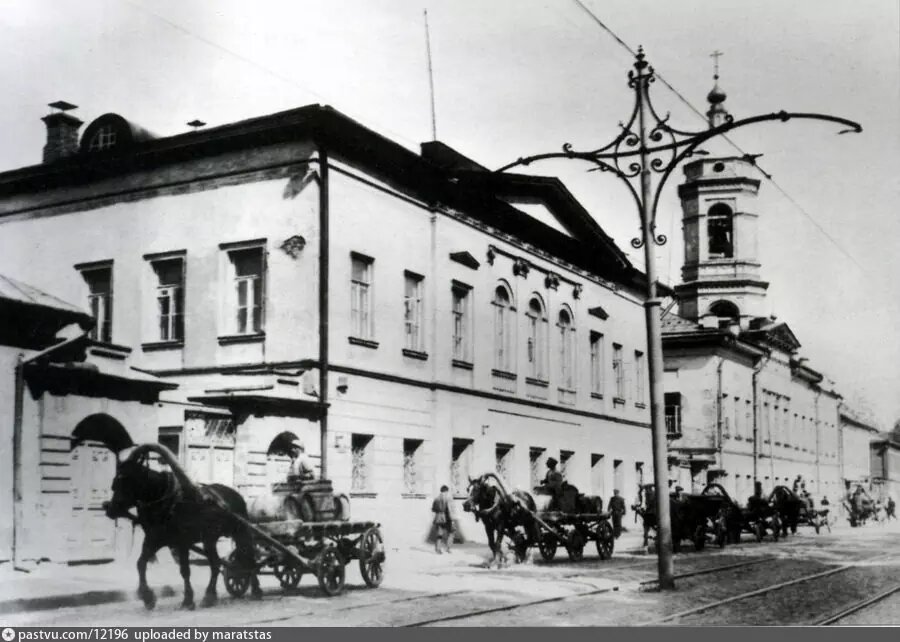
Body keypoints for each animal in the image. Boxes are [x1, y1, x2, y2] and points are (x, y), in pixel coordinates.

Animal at [104, 442, 264, 608]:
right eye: (115, 483)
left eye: (126, 480)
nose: (110, 509)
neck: (167, 501)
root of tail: (235, 494)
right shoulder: (154, 539)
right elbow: (141, 563)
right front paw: (148, 597)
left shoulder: (182, 542)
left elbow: (185, 570)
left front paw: (188, 599)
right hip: (213, 538)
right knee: (236, 560)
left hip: (235, 533)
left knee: (237, 559)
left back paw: (217, 594)